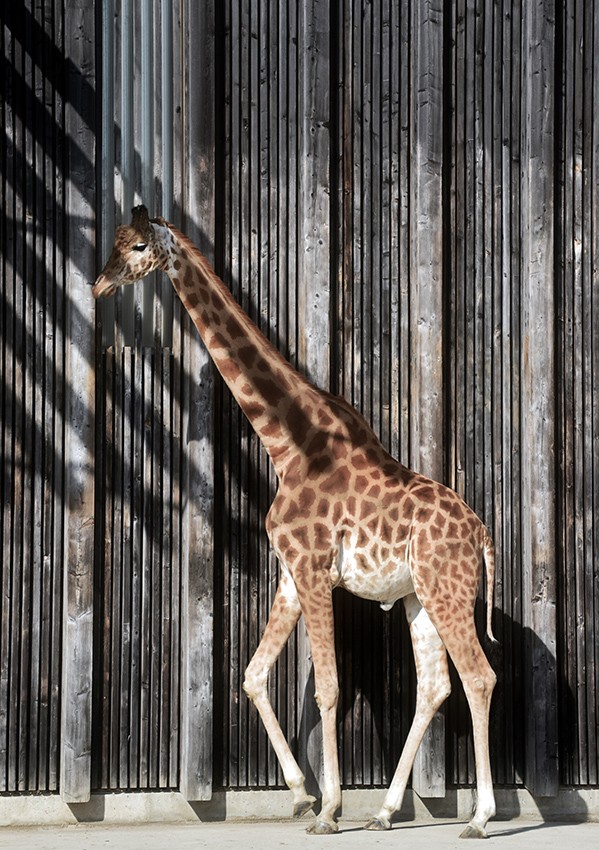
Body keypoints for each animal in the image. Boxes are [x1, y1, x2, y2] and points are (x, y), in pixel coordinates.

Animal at [93, 206, 497, 838]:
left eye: (136, 247)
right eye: (114, 241)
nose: (99, 284)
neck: (289, 444)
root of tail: (482, 535)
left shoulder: (312, 571)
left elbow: (328, 689)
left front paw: (329, 811)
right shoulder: (290, 573)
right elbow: (252, 675)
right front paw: (302, 794)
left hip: (447, 589)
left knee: (479, 678)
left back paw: (479, 817)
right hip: (419, 596)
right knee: (434, 686)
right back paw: (385, 811)